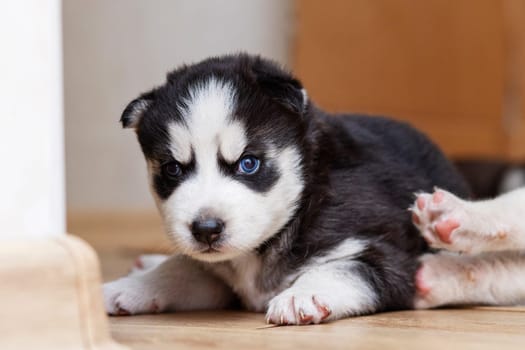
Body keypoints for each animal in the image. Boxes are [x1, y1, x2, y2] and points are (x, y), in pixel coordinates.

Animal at [102, 54, 466, 326]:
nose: (206, 229)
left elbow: (346, 267)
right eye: (173, 169)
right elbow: (181, 268)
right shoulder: (219, 276)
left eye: (248, 164)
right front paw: (133, 286)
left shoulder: (393, 257)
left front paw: (303, 294)